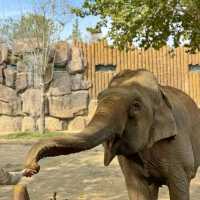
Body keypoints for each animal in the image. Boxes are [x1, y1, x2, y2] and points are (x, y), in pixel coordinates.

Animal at [22, 68, 200, 198]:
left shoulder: (177, 148)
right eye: (99, 97)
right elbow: (137, 189)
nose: (32, 168)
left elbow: (178, 186)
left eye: (136, 106)